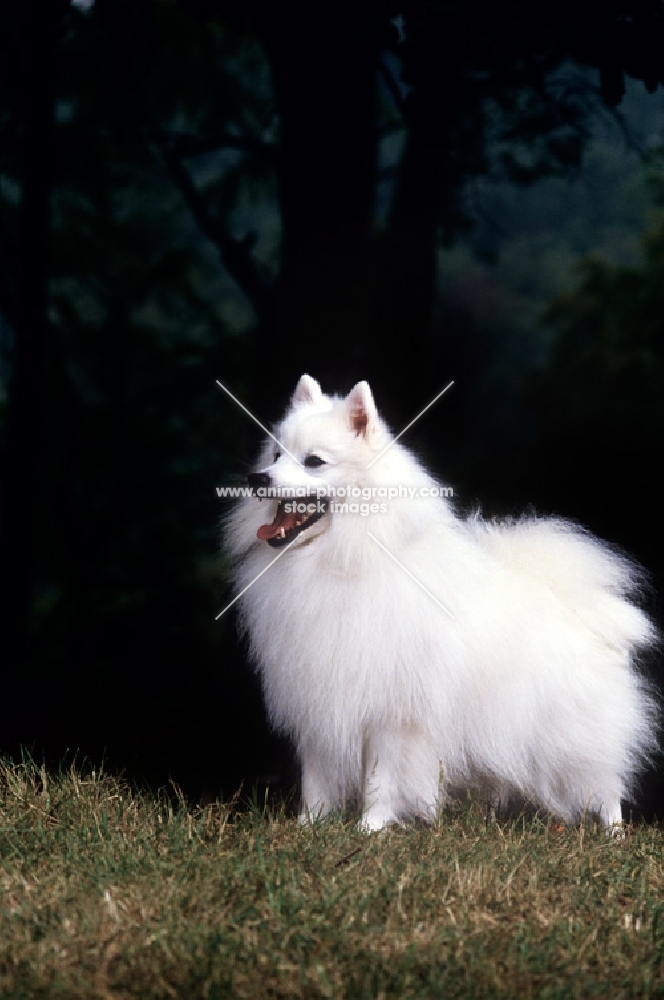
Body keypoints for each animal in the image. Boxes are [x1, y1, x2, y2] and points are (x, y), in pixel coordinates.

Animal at [224, 376, 660, 828]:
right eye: (276, 455)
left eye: (314, 461)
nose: (257, 478)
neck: (341, 557)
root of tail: (581, 605)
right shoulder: (318, 703)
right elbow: (317, 781)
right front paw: (308, 827)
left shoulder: (393, 715)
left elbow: (382, 779)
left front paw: (370, 828)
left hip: (571, 734)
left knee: (606, 785)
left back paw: (614, 833)